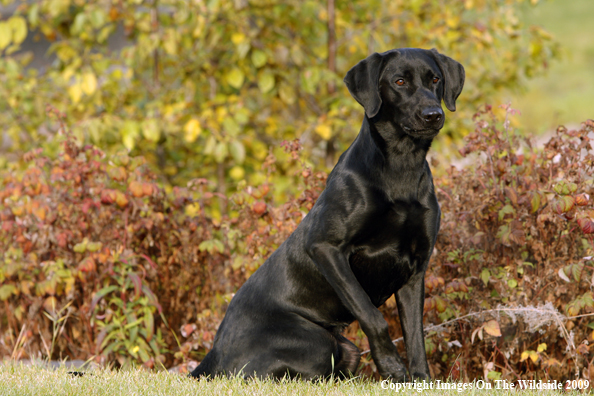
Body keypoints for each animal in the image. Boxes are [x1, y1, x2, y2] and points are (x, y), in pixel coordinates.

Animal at [190, 48, 462, 382]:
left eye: (435, 79)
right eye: (399, 81)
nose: (433, 114)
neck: (401, 167)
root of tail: (212, 356)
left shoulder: (416, 268)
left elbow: (415, 334)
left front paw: (420, 379)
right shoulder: (325, 247)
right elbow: (373, 316)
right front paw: (392, 368)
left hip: (346, 349)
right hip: (318, 343)